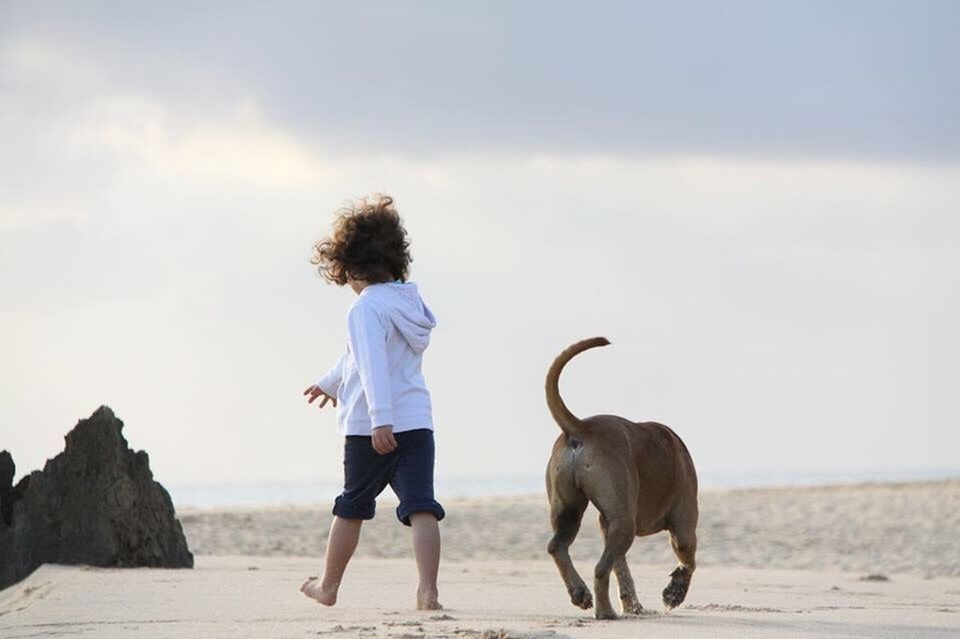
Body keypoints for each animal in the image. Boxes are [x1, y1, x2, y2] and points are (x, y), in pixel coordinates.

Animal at [548, 338, 696, 616]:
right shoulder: (684, 523)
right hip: (625, 522)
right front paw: (674, 593)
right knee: (600, 569)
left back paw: (580, 593)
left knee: (558, 547)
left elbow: (622, 569)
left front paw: (633, 605)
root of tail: (581, 427)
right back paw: (605, 612)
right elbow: (688, 562)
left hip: (570, 511)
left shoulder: (606, 524)